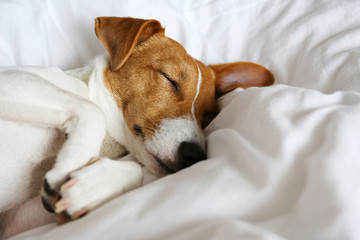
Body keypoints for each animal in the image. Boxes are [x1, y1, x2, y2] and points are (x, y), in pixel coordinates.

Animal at [0, 16, 272, 238]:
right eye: (169, 78)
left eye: (209, 115)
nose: (194, 155)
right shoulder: (11, 82)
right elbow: (92, 110)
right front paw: (68, 165)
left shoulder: (16, 218)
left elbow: (135, 169)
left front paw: (93, 185)